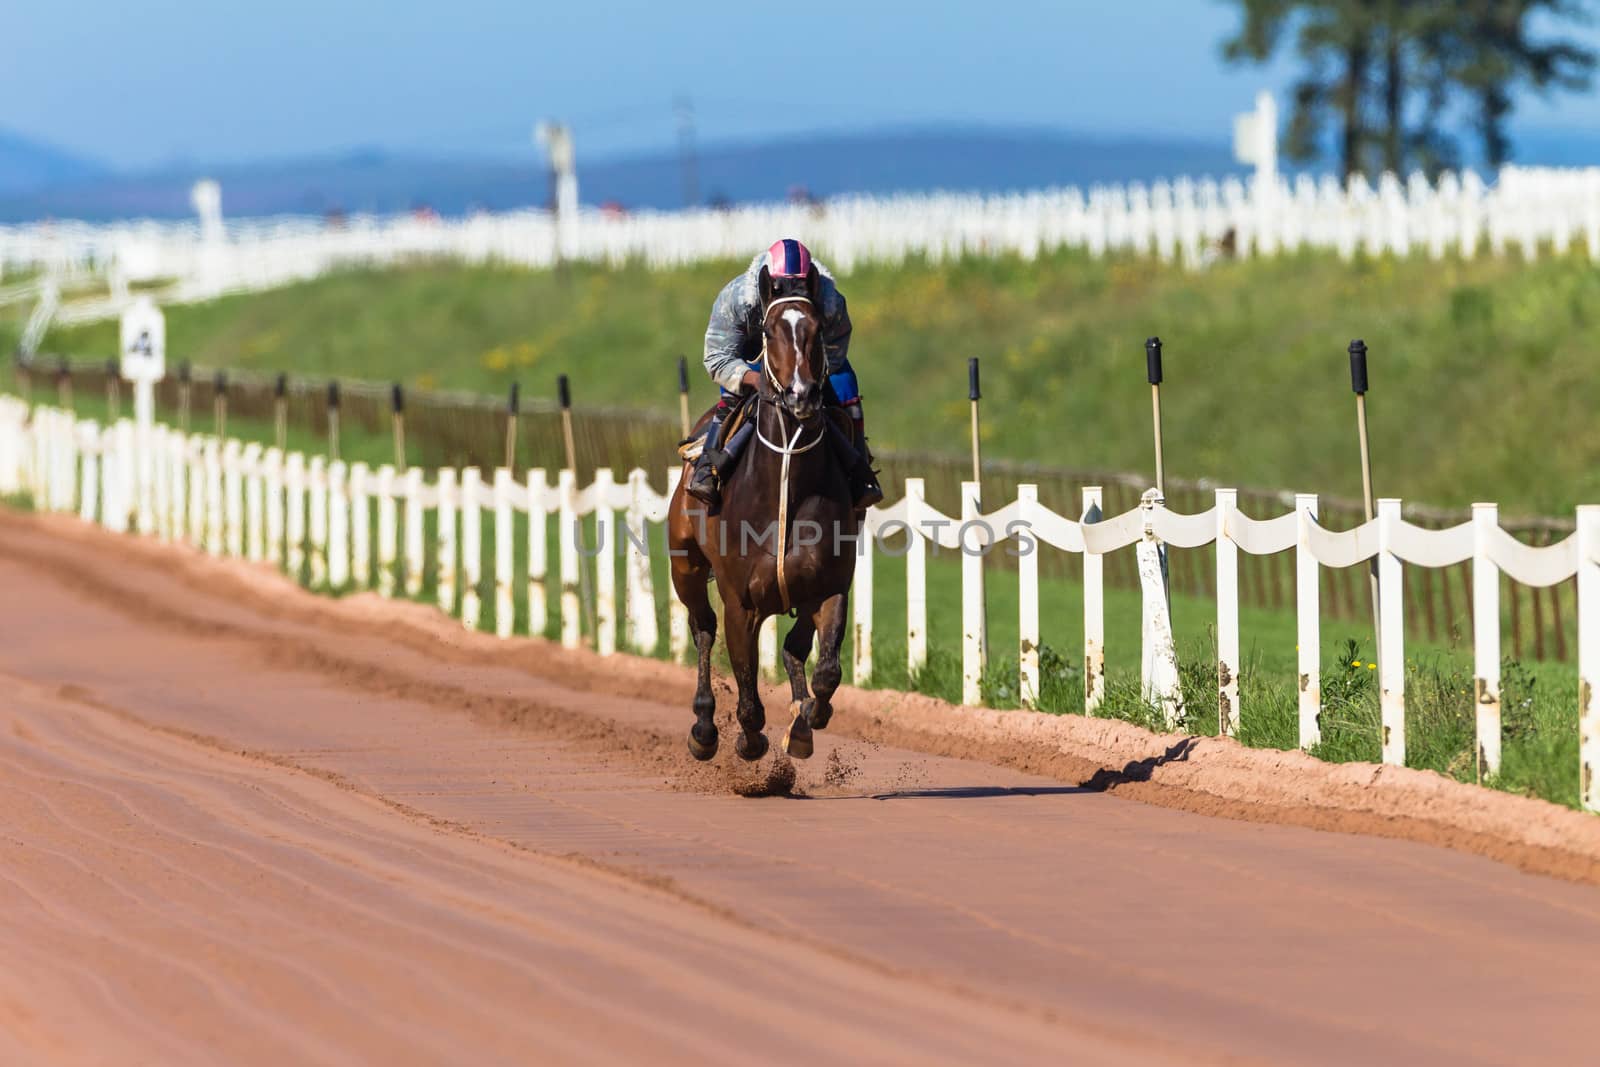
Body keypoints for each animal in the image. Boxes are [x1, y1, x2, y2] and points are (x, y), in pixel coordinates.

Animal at [665, 267, 864, 767]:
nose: (802, 395)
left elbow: (826, 670)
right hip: (685, 568)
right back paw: (704, 726)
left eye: (816, 329)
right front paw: (749, 738)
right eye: (771, 331)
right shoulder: (740, 601)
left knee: (794, 648)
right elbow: (747, 687)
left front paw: (809, 718)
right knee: (702, 631)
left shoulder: (830, 586)